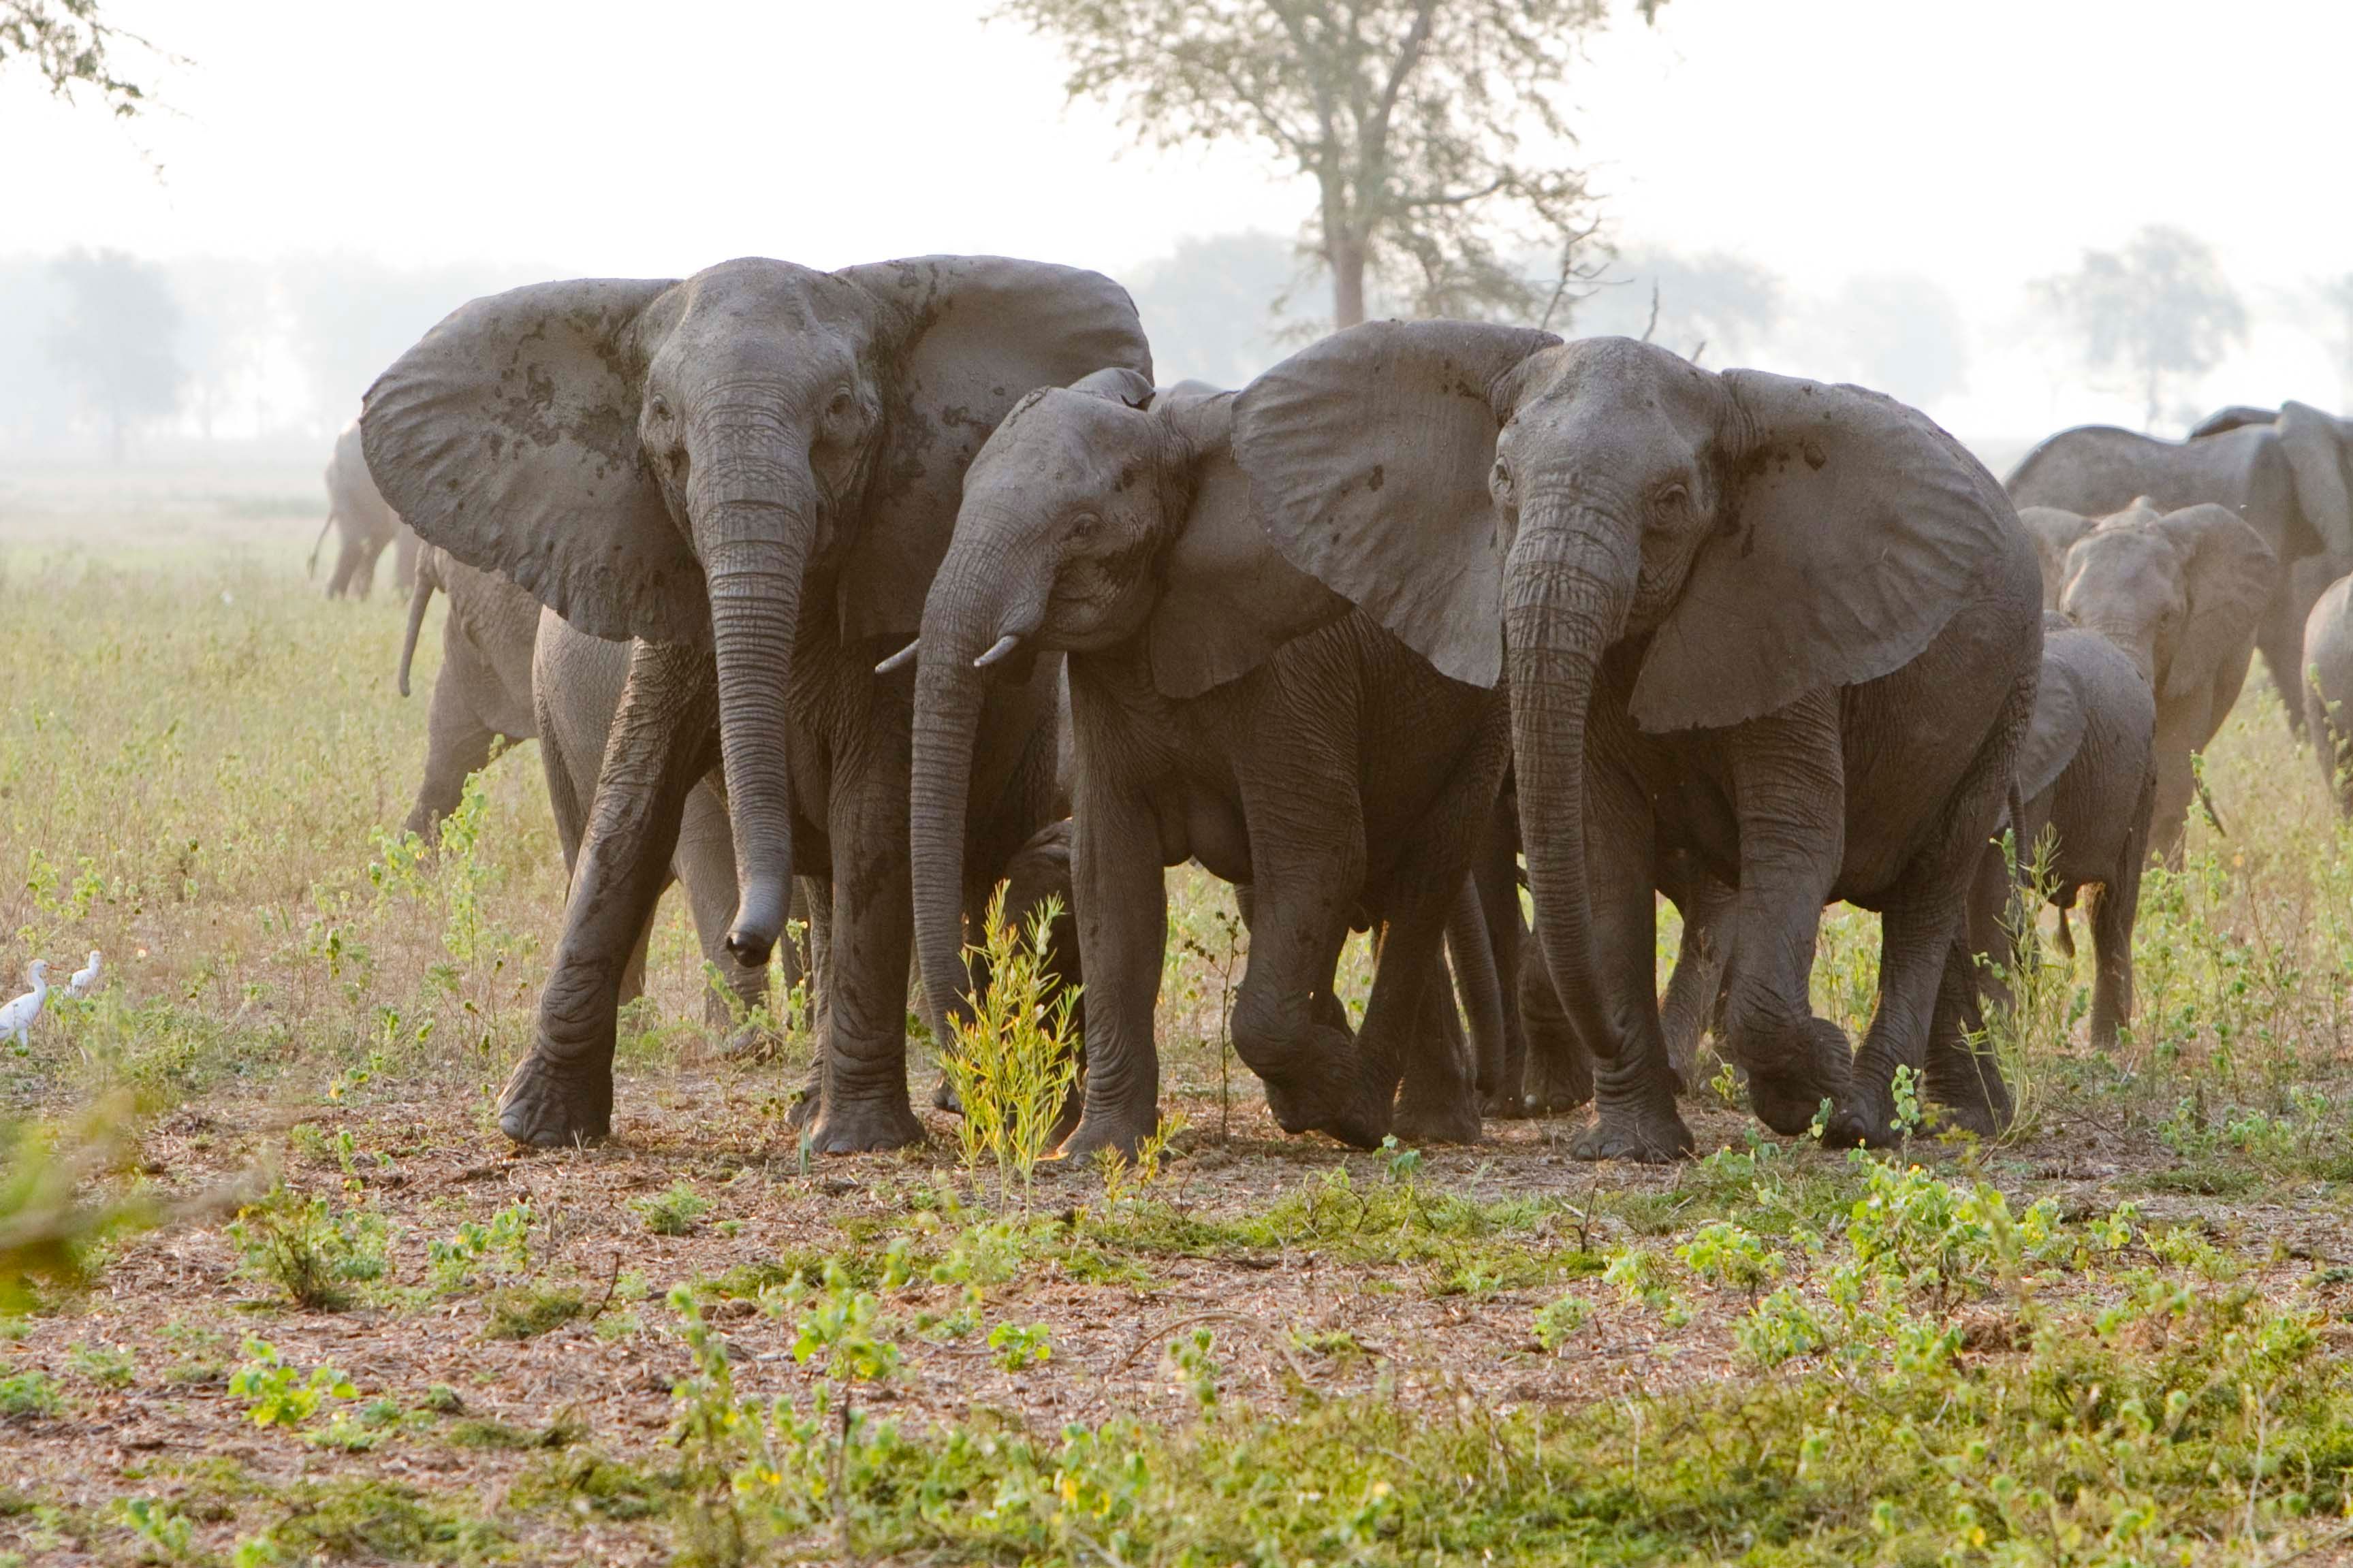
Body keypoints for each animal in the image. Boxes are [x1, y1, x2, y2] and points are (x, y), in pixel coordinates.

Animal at [362, 255, 1147, 1151]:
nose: (746, 939)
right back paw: (819, 1098)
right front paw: (534, 1127)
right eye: (660, 419)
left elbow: (869, 812)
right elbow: (633, 805)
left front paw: (859, 1142)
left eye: (841, 413)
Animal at [901, 370, 1511, 1156]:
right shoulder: (1106, 671)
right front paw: (1101, 1150)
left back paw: (1369, 1113)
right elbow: (1111, 878)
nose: (960, 1099)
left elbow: (1320, 852)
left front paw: (1326, 1080)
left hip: (1484, 715)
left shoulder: (1291, 672)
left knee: (1418, 886)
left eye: (1081, 528)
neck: (1171, 444)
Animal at [1230, 325, 2042, 1158]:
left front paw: (1811, 1074)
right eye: (1499, 478)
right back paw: (1967, 1117)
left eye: (1670, 502)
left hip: (2008, 690)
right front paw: (1633, 1146)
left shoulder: (1792, 627)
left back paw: (1862, 1121)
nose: (1515, 1099)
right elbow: (1599, 843)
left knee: (1930, 888)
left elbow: (1796, 833)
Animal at [1968, 619, 2155, 1052]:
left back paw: (2107, 1047)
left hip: (2142, 780)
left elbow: (1991, 895)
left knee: (2111, 910)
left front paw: (1998, 1047)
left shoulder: (2037, 773)